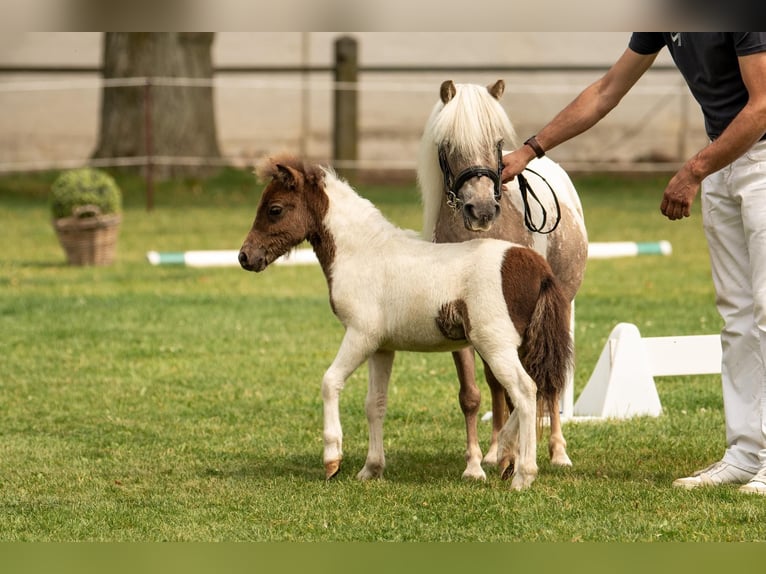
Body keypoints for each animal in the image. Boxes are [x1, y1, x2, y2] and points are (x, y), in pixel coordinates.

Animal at [242, 155, 576, 492]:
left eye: (275, 209)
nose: (245, 257)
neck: (364, 253)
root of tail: (539, 268)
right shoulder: (381, 348)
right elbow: (375, 403)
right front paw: (371, 468)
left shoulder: (360, 335)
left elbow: (329, 382)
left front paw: (332, 461)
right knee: (539, 387)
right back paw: (505, 452)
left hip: (496, 345)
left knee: (525, 390)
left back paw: (523, 475)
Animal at [420, 81, 588, 476]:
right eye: (448, 145)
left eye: (496, 141)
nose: (481, 210)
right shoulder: (460, 325)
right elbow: (472, 394)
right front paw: (476, 464)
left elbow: (527, 388)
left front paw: (515, 459)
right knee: (498, 383)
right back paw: (497, 451)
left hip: (555, 315)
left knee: (548, 379)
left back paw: (557, 453)